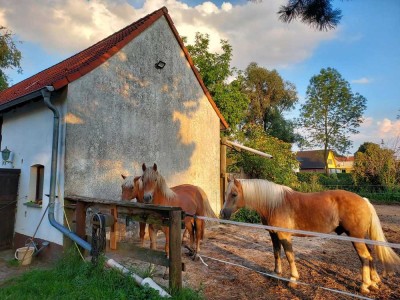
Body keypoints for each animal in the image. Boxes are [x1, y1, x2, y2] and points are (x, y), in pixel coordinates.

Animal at [220, 178, 400, 292]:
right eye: (226, 193)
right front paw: (276, 274)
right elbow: (276, 254)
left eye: (234, 194)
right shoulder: (273, 235)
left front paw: (293, 280)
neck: (275, 204)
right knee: (370, 255)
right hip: (361, 237)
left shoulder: (284, 236)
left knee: (364, 257)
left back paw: (364, 286)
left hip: (355, 237)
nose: (223, 214)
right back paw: (374, 282)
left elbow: (290, 256)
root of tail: (364, 201)